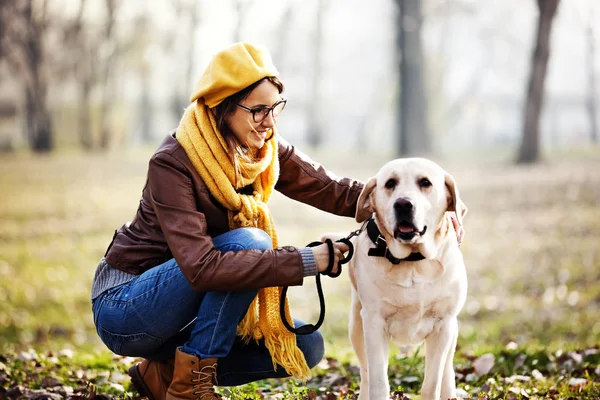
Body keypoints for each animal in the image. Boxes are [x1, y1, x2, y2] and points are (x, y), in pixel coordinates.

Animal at [340, 158, 466, 398]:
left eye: (425, 182)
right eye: (390, 183)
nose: (403, 204)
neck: (413, 261)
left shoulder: (443, 324)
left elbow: (432, 383)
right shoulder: (374, 323)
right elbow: (378, 381)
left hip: (453, 330)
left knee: (447, 369)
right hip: (356, 327)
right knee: (366, 373)